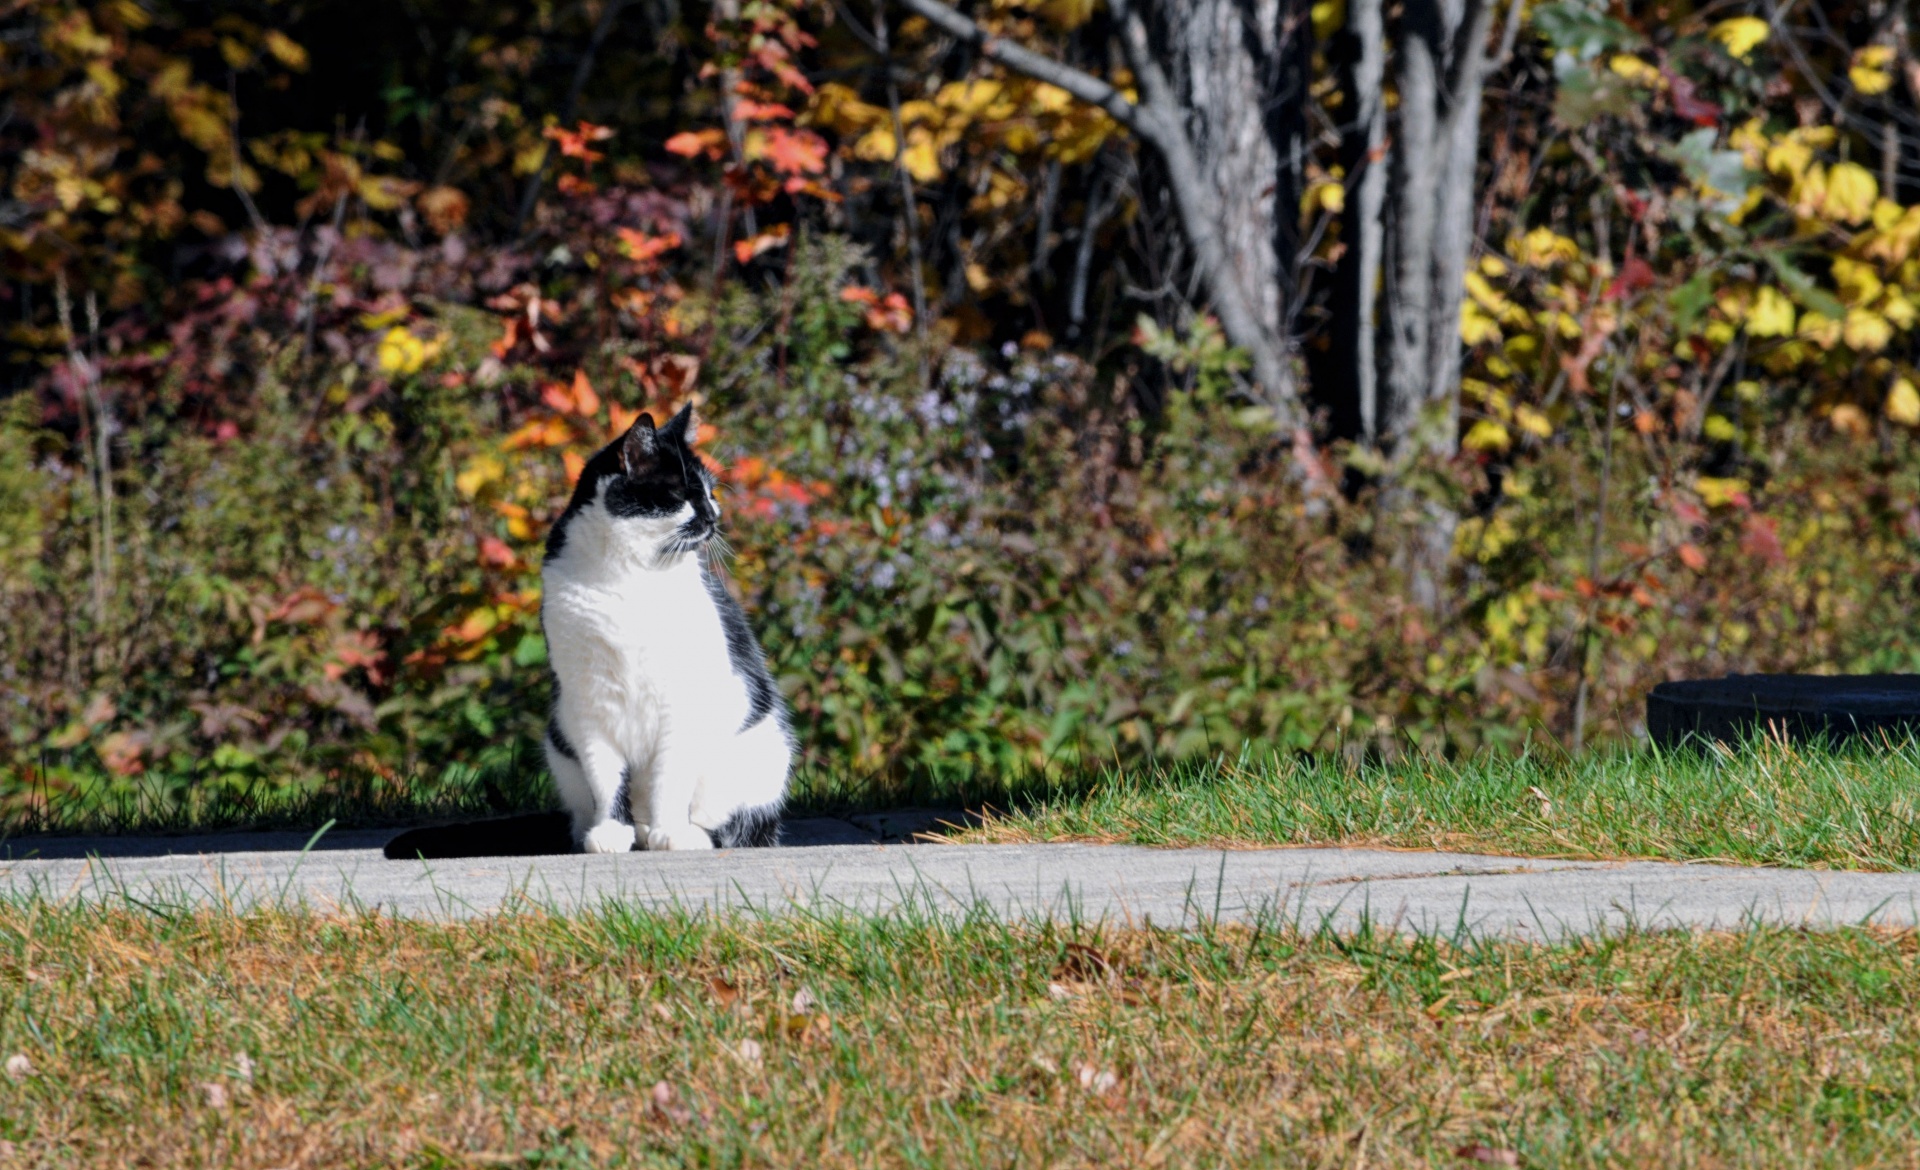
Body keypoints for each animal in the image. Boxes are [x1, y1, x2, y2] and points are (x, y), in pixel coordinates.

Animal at [541, 401, 787, 849]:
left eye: (711, 492)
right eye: (682, 495)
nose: (715, 516)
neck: (629, 577)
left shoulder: (683, 701)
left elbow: (670, 777)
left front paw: (670, 831)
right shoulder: (588, 701)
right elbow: (605, 777)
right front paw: (611, 832)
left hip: (762, 752)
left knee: (737, 826)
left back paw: (687, 834)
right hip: (559, 740)